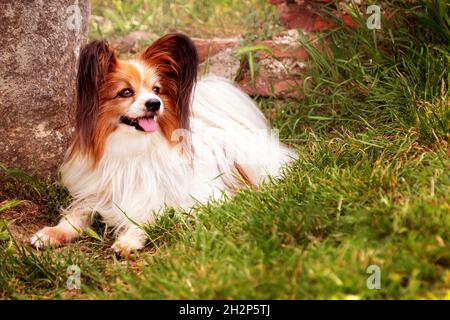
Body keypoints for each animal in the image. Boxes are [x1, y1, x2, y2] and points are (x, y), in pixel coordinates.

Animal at [32, 33, 298, 256]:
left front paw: (128, 241)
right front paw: (51, 234)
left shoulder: (177, 199)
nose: (154, 103)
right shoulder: (96, 192)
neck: (132, 148)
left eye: (156, 89)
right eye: (125, 92)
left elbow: (146, 216)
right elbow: (76, 214)